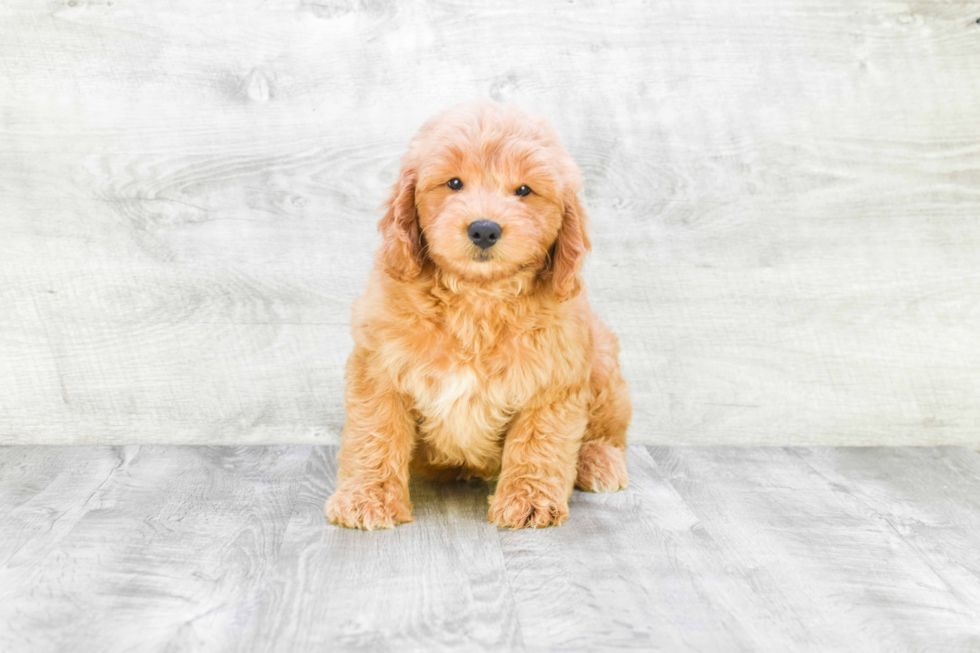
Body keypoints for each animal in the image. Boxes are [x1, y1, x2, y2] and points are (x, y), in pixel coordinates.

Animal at [328, 102, 636, 528]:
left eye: (523, 191)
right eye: (454, 183)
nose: (484, 229)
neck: (478, 295)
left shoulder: (554, 377)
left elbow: (539, 442)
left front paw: (529, 501)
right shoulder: (379, 368)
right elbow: (375, 433)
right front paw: (366, 498)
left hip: (603, 360)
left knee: (609, 433)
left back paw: (597, 460)